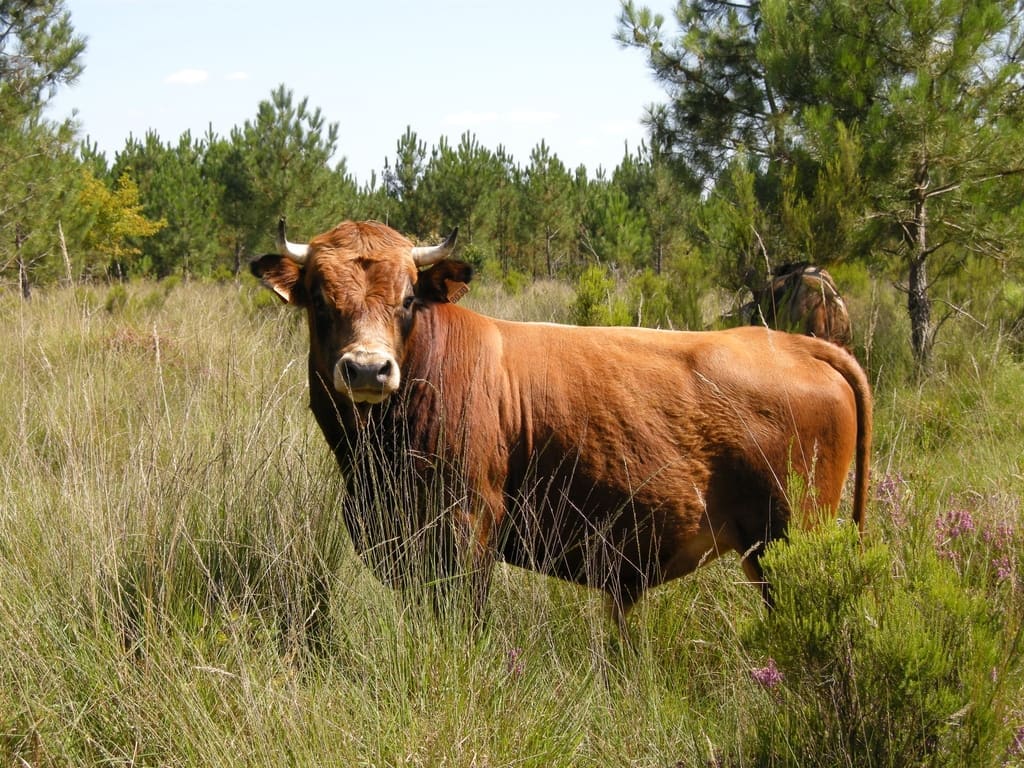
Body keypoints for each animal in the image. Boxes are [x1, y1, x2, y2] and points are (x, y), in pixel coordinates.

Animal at [251, 219, 871, 629]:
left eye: (407, 299)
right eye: (319, 301)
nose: (367, 368)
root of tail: (796, 344)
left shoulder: (468, 523)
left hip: (792, 535)